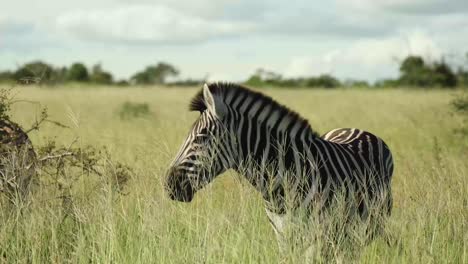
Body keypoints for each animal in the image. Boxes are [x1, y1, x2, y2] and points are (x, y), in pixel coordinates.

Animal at [166, 82, 394, 252]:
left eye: (201, 137)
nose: (168, 184)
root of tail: (358, 129)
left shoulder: (317, 240)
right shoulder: (283, 238)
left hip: (367, 227)